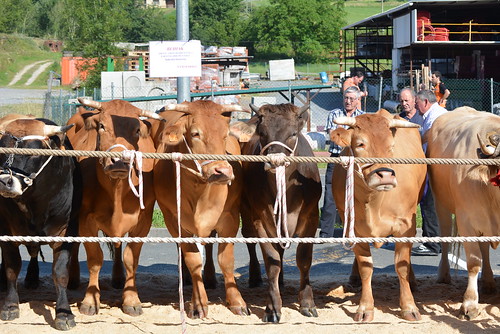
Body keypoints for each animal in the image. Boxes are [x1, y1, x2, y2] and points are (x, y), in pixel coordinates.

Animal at [64, 98, 158, 316]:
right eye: (101, 126)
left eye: (137, 130)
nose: (119, 161)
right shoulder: (85, 220)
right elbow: (95, 259)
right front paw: (90, 300)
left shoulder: (143, 221)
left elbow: (130, 258)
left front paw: (131, 299)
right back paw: (72, 279)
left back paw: (118, 278)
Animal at [151, 99, 247, 318]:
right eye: (195, 133)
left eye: (226, 134)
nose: (222, 171)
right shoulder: (175, 222)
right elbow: (193, 259)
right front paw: (199, 303)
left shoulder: (230, 218)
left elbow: (226, 260)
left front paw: (236, 301)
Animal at [231, 103, 322, 322]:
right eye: (262, 133)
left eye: (293, 133)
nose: (275, 161)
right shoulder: (260, 219)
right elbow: (271, 261)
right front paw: (272, 307)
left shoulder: (311, 217)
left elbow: (303, 259)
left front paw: (307, 303)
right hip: (245, 208)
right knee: (250, 238)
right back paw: (255, 276)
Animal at [332, 109, 426, 320]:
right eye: (360, 144)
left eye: (391, 147)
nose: (386, 175)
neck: (374, 202)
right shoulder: (354, 228)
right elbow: (366, 267)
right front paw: (365, 307)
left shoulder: (405, 226)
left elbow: (402, 265)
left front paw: (409, 306)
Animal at [426, 106, 500, 318]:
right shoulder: (466, 220)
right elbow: (474, 262)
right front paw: (470, 303)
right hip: (441, 204)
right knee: (444, 238)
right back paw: (443, 275)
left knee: (484, 248)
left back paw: (489, 282)